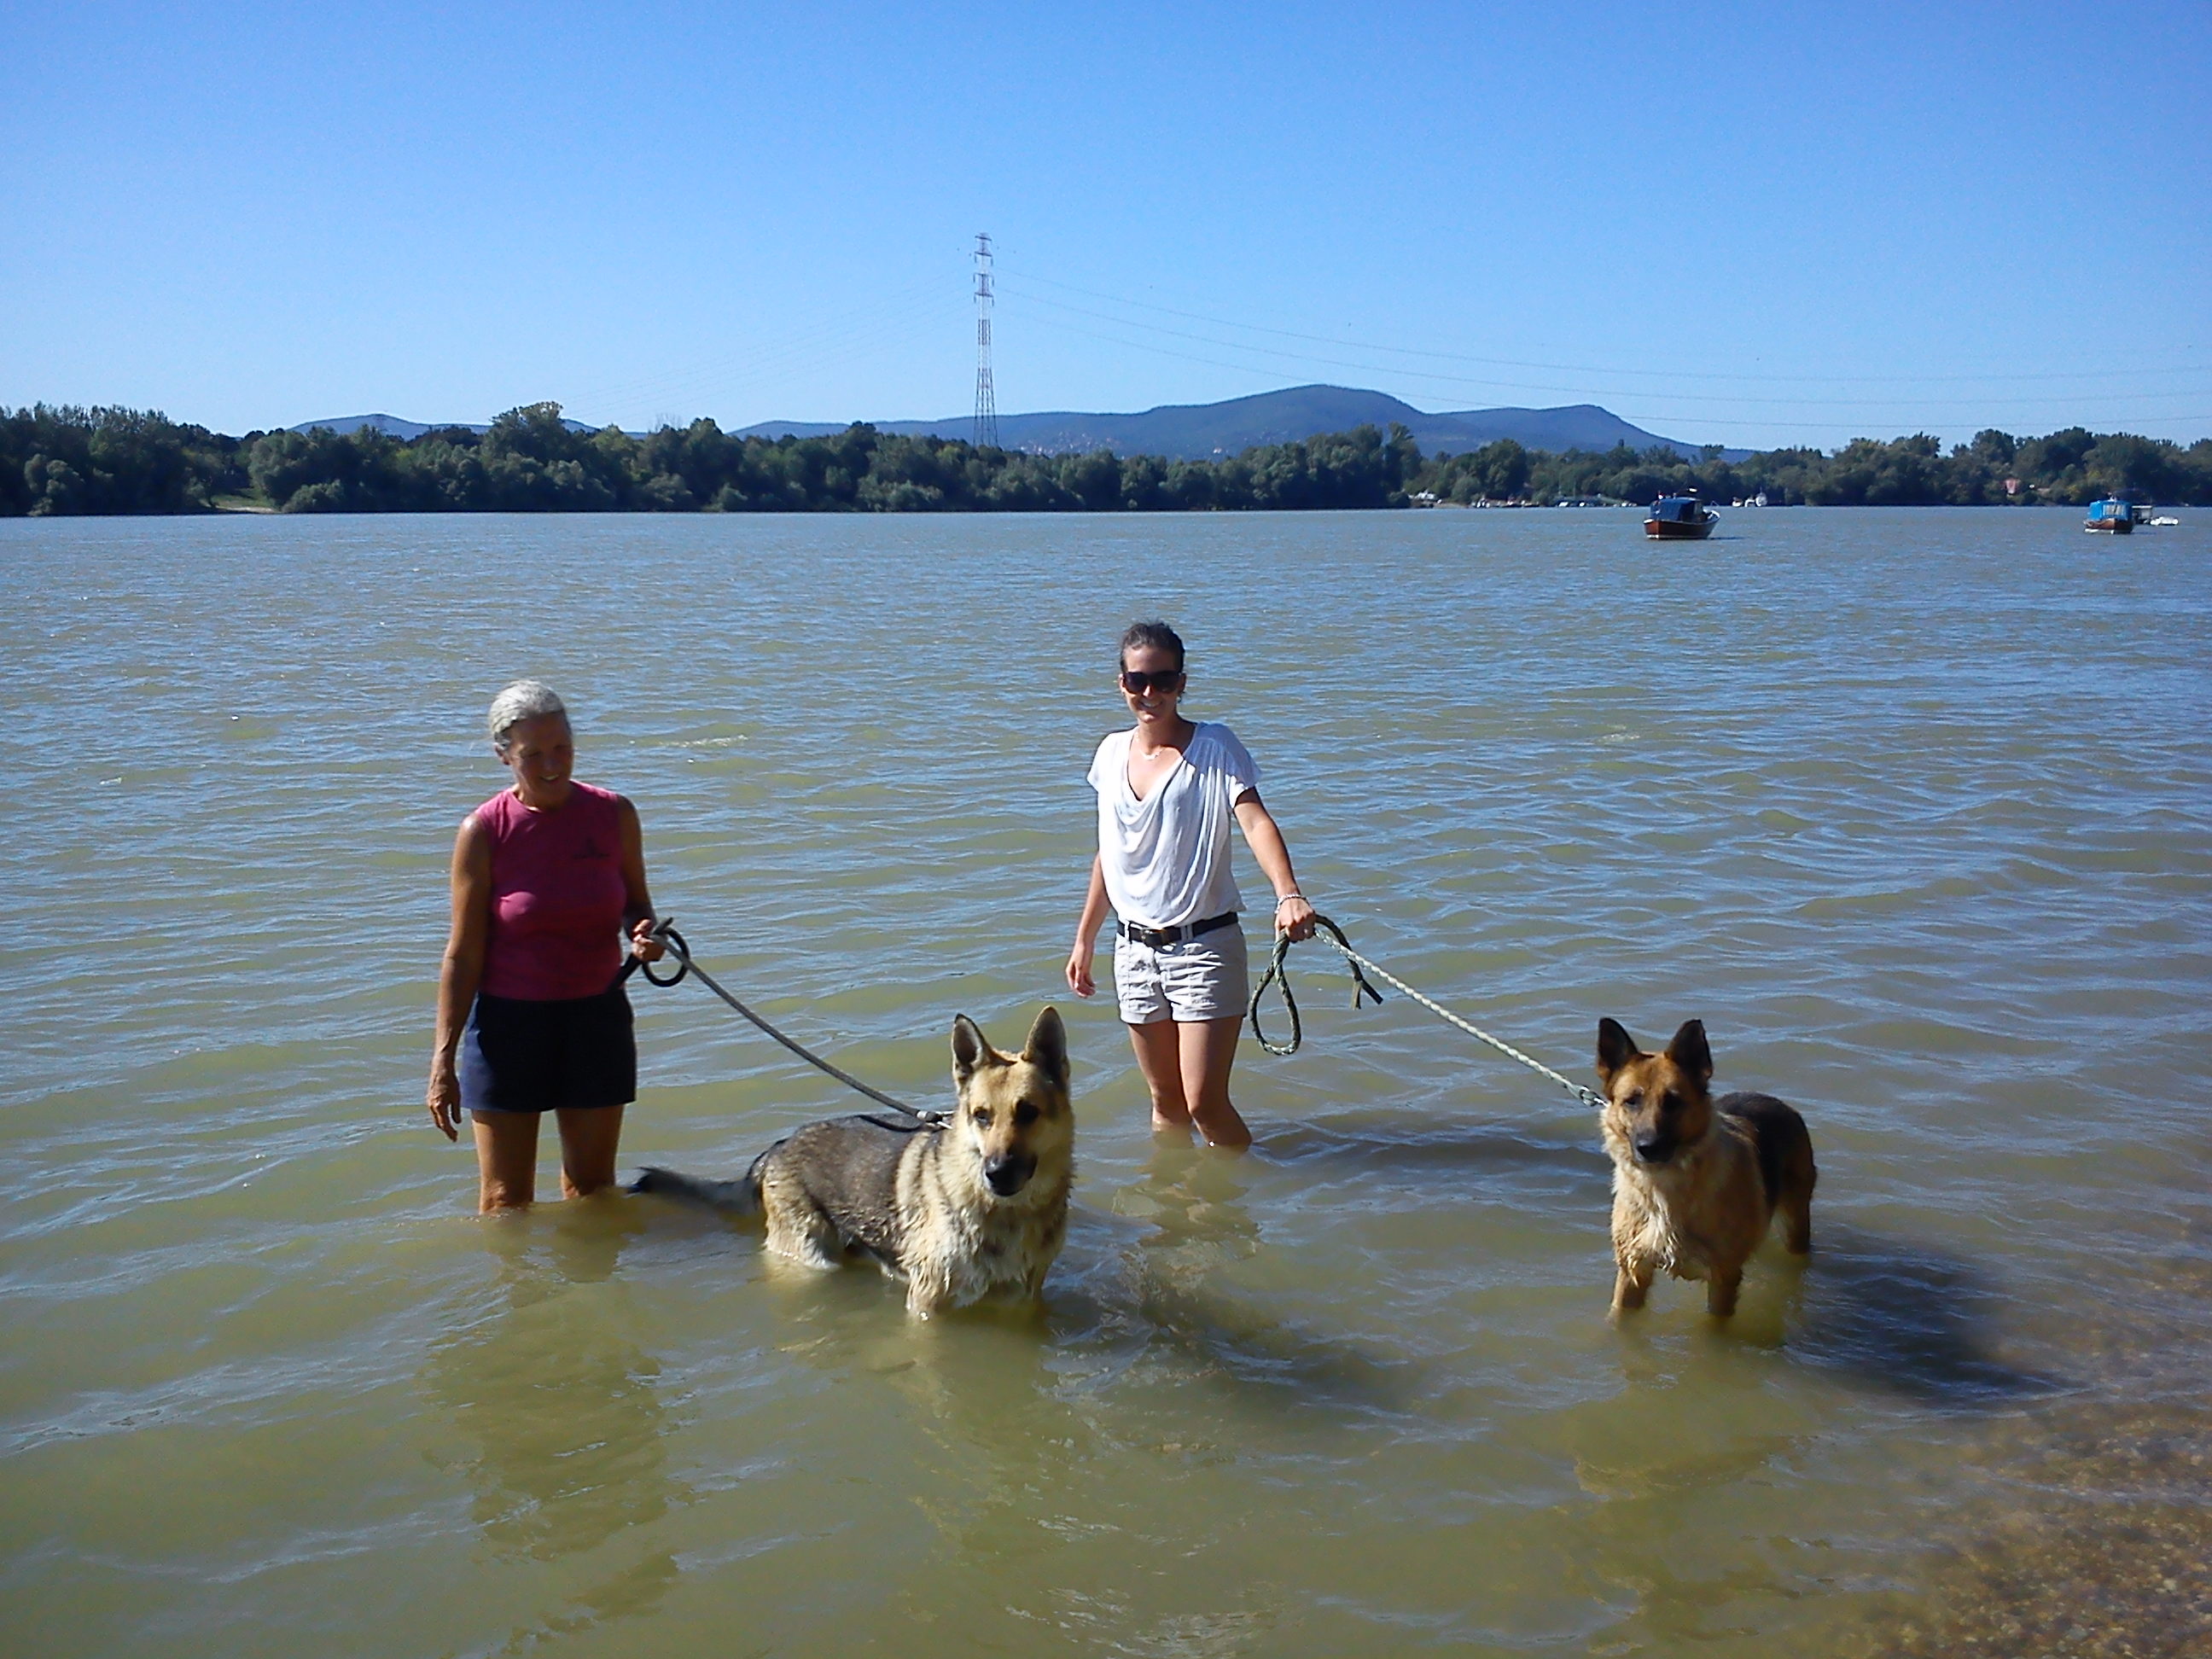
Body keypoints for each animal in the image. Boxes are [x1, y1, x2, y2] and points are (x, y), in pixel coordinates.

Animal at [632, 1007, 1073, 1318]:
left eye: (1028, 1112)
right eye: (982, 1116)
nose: (996, 1174)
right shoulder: (927, 1306)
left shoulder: (1021, 1302)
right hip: (812, 1259)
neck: (1007, 1215)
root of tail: (776, 1148)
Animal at [1596, 1017, 1816, 1318]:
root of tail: (1776, 1102)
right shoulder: (1633, 1274)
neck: (1665, 1192)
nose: (1647, 1147)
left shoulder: (1724, 1279)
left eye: (1673, 1102)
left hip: (1795, 1224)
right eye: (1631, 1101)